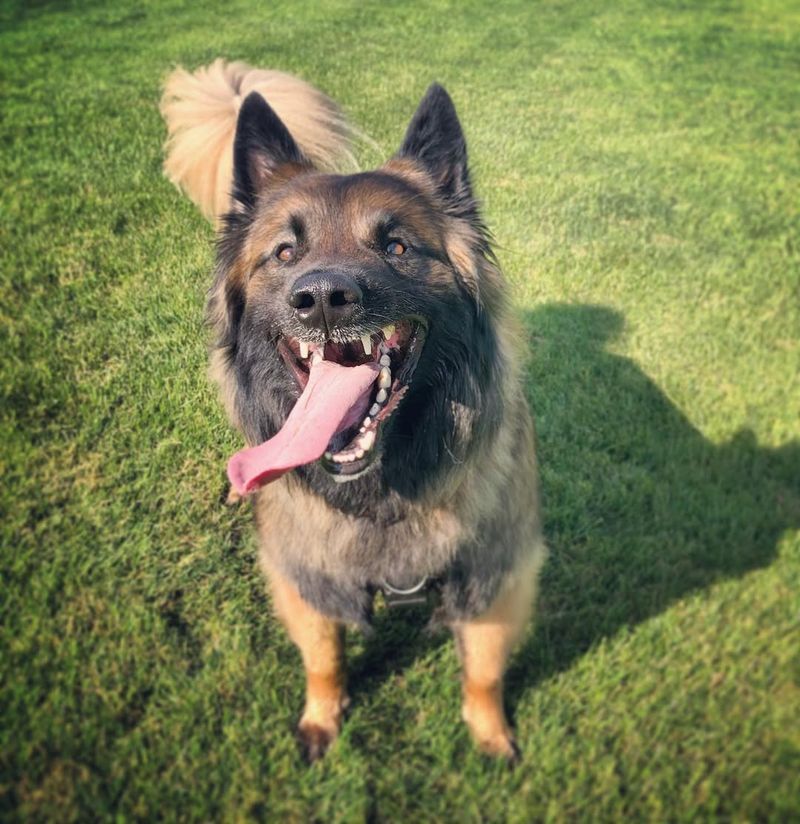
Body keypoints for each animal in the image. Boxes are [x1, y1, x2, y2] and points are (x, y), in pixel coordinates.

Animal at [162, 61, 552, 764]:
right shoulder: (307, 575)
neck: (383, 495)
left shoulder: (496, 573)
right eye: (285, 253)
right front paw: (322, 720)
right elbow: (323, 660)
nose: (321, 298)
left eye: (396, 247)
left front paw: (490, 735)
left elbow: (483, 671)